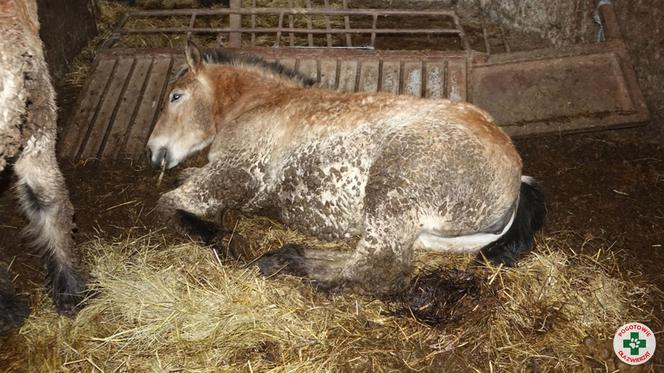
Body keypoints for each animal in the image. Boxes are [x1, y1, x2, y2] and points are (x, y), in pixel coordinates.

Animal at [147, 42, 544, 294]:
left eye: (176, 96)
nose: (153, 150)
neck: (260, 104)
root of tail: (514, 177)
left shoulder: (231, 175)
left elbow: (168, 204)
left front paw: (217, 238)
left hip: (391, 192)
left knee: (375, 269)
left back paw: (303, 274)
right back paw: (286, 256)